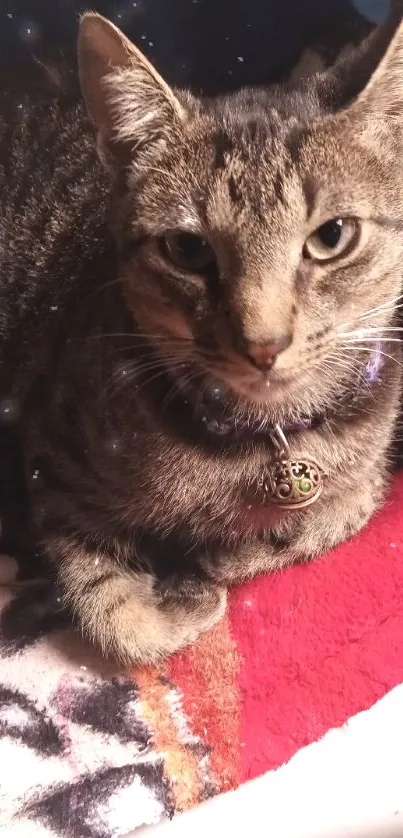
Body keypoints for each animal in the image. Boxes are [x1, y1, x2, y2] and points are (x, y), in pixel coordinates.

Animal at [0, 8, 403, 664]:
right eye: (187, 250)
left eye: (332, 235)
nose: (264, 344)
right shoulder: (50, 458)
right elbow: (114, 612)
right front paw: (182, 598)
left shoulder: (371, 466)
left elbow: (345, 509)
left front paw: (227, 556)